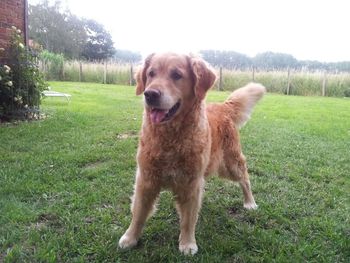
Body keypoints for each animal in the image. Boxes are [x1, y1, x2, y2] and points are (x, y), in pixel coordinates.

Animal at [119, 53, 266, 256]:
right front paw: (130, 237)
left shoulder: (190, 182)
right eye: (151, 74)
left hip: (230, 164)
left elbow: (188, 219)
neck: (170, 137)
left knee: (245, 179)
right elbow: (139, 213)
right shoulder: (146, 178)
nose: (150, 94)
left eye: (176, 75)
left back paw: (250, 202)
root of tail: (223, 106)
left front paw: (187, 243)